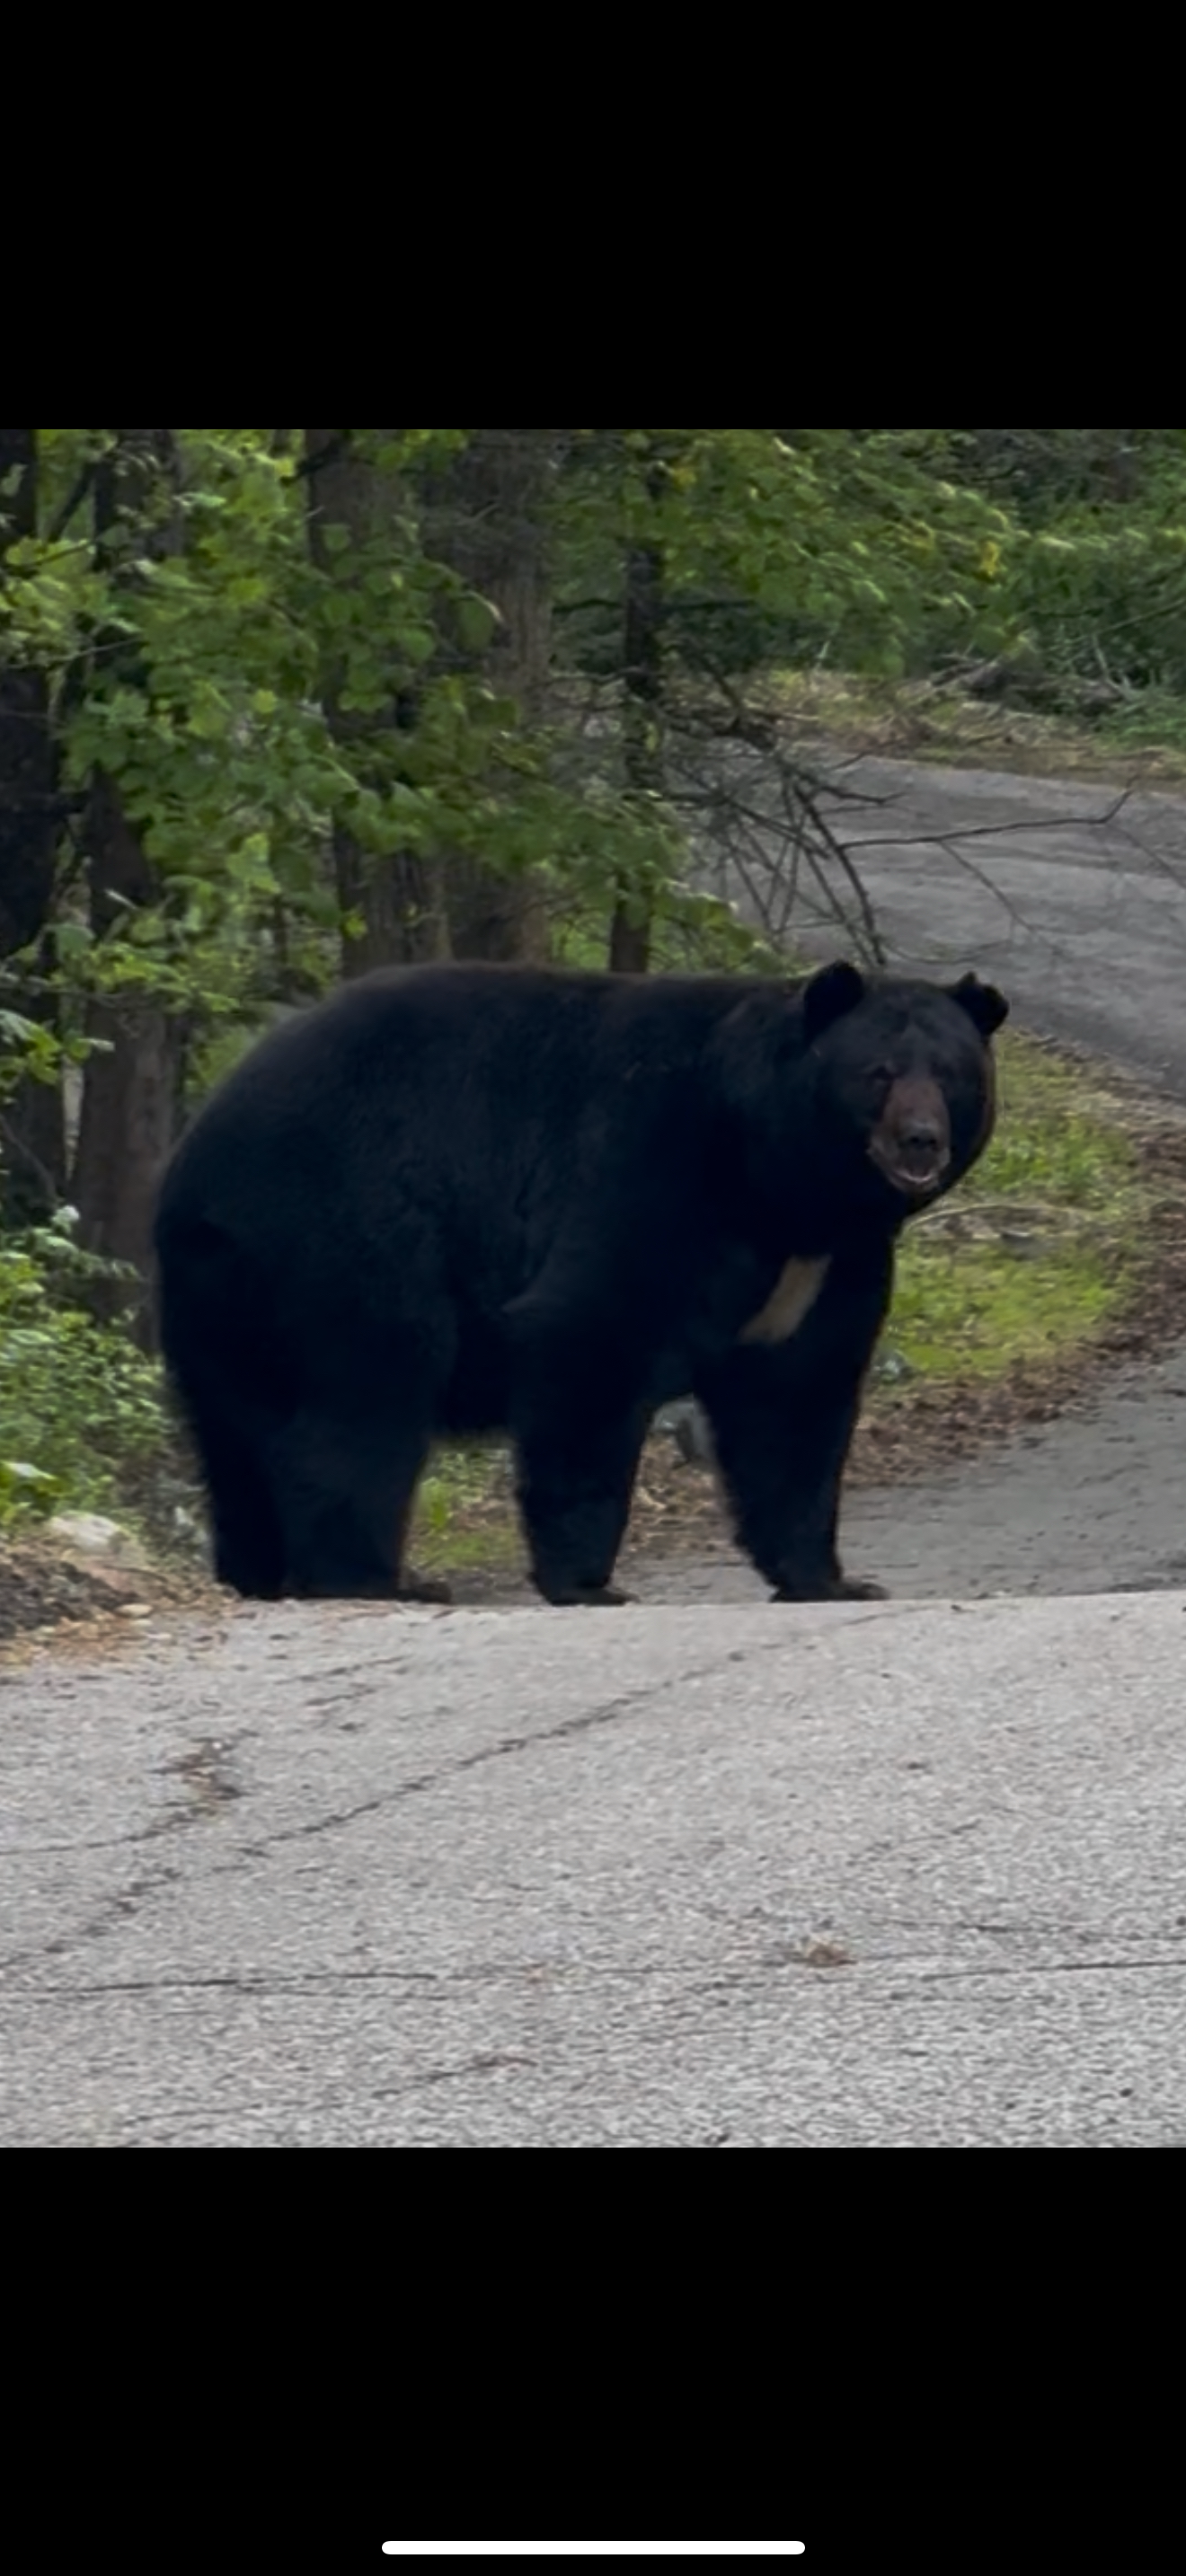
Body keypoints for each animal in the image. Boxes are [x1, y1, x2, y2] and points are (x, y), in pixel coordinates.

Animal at [153, 958, 1008, 1610]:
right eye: (879, 1073)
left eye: (952, 1074)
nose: (920, 1141)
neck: (781, 1186)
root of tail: (193, 1163)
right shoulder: (646, 1172)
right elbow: (590, 1344)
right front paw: (589, 1581)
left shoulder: (829, 1268)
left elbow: (798, 1402)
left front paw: (829, 1579)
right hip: (343, 1237)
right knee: (363, 1399)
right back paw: (372, 1578)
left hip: (221, 1301)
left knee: (238, 1438)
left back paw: (260, 1574)